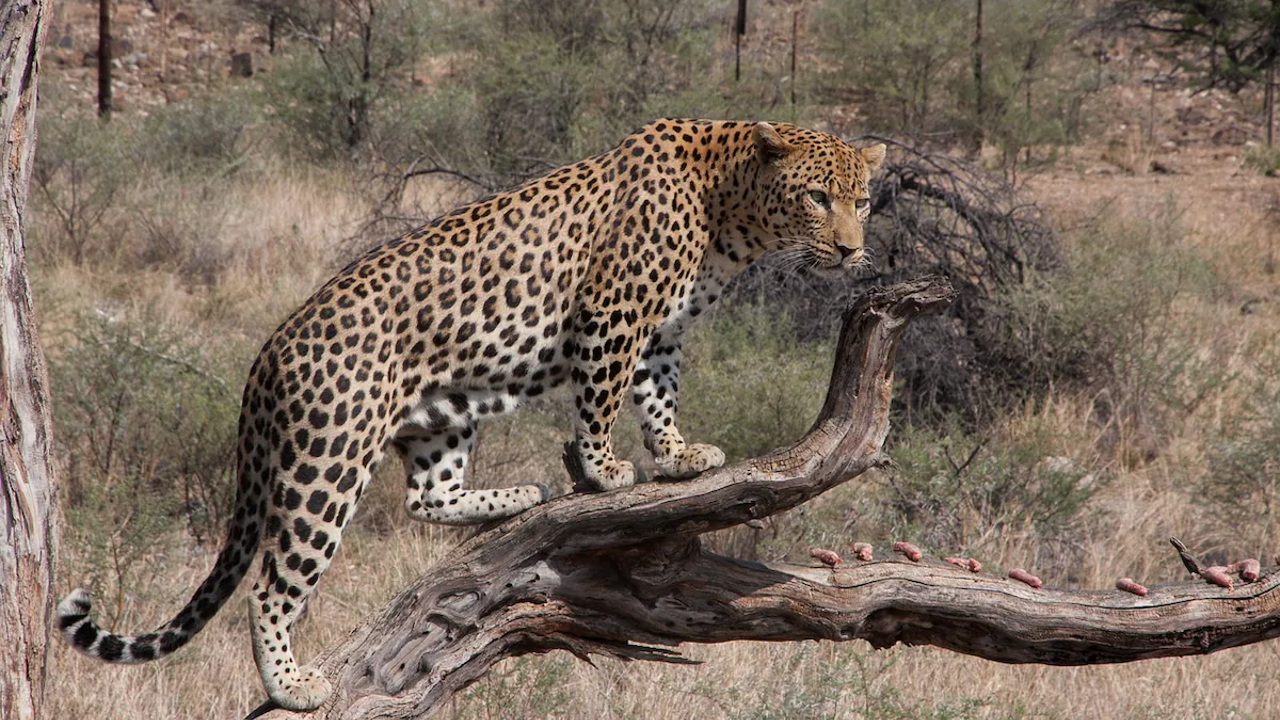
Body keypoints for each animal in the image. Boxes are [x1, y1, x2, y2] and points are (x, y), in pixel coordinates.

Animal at [56, 119, 887, 711]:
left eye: (864, 200)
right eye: (817, 197)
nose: (852, 251)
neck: (731, 212)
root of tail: (269, 350)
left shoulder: (660, 332)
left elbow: (657, 395)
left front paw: (676, 455)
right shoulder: (612, 314)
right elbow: (602, 396)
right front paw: (604, 470)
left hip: (443, 415)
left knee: (428, 496)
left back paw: (518, 496)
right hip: (327, 462)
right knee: (273, 583)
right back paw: (291, 685)